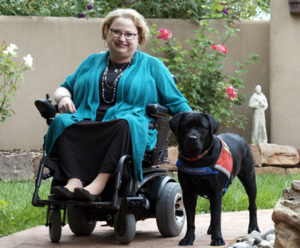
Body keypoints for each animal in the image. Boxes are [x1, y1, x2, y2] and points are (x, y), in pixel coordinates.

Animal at [169, 112, 260, 246]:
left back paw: (253, 227)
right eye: (185, 127)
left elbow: (217, 218)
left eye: (202, 127)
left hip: (249, 178)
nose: (192, 138)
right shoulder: (189, 193)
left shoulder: (215, 192)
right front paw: (188, 238)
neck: (197, 161)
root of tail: (240, 137)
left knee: (252, 205)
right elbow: (191, 220)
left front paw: (217, 239)